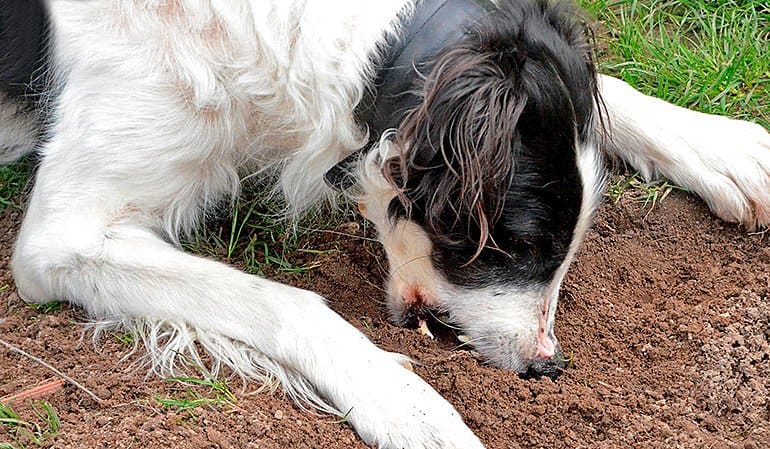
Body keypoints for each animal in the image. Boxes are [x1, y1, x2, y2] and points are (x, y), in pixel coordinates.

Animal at [4, 0, 768, 446]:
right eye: (521, 243)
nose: (546, 366)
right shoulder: (61, 238)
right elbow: (283, 301)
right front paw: (410, 404)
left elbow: (605, 89)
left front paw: (731, 149)